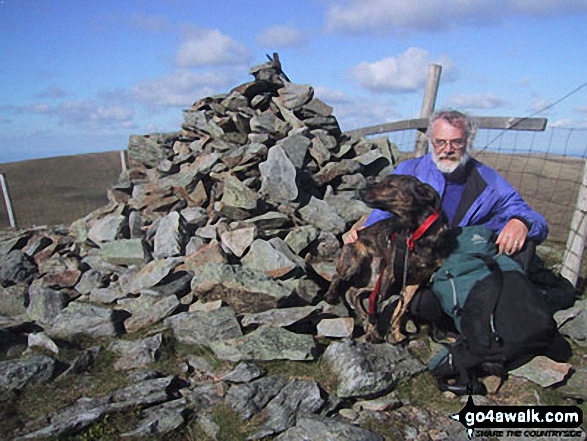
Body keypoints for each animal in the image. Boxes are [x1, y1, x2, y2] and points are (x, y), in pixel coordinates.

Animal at [324, 174, 452, 342]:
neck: (418, 234)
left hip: (374, 276)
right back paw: (331, 296)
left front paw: (395, 335)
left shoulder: (416, 279)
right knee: (337, 277)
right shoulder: (391, 272)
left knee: (354, 292)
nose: (361, 190)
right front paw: (373, 333)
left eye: (390, 185)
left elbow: (402, 308)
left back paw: (363, 316)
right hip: (355, 264)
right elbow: (377, 303)